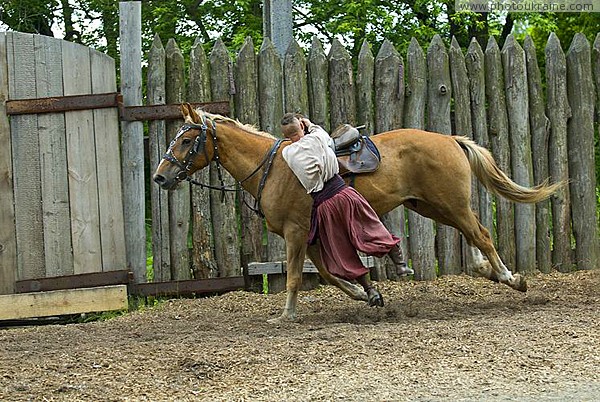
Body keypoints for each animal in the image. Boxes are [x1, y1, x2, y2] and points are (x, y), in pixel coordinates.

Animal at [154, 104, 564, 324]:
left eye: (187, 140)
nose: (160, 176)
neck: (275, 166)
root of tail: (450, 140)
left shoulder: (295, 231)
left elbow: (295, 277)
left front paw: (287, 314)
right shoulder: (309, 234)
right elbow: (331, 273)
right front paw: (366, 293)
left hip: (450, 204)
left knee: (481, 234)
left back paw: (510, 278)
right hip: (433, 206)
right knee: (473, 233)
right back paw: (487, 271)